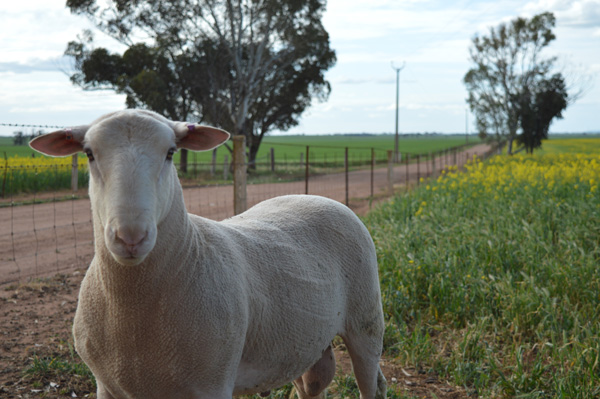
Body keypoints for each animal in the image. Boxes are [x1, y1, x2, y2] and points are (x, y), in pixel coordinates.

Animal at [31, 109, 390, 399]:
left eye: (171, 153)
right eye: (89, 154)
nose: (130, 237)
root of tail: (315, 196)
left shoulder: (211, 383)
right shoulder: (107, 386)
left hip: (367, 321)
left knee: (372, 383)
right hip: (306, 342)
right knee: (313, 384)